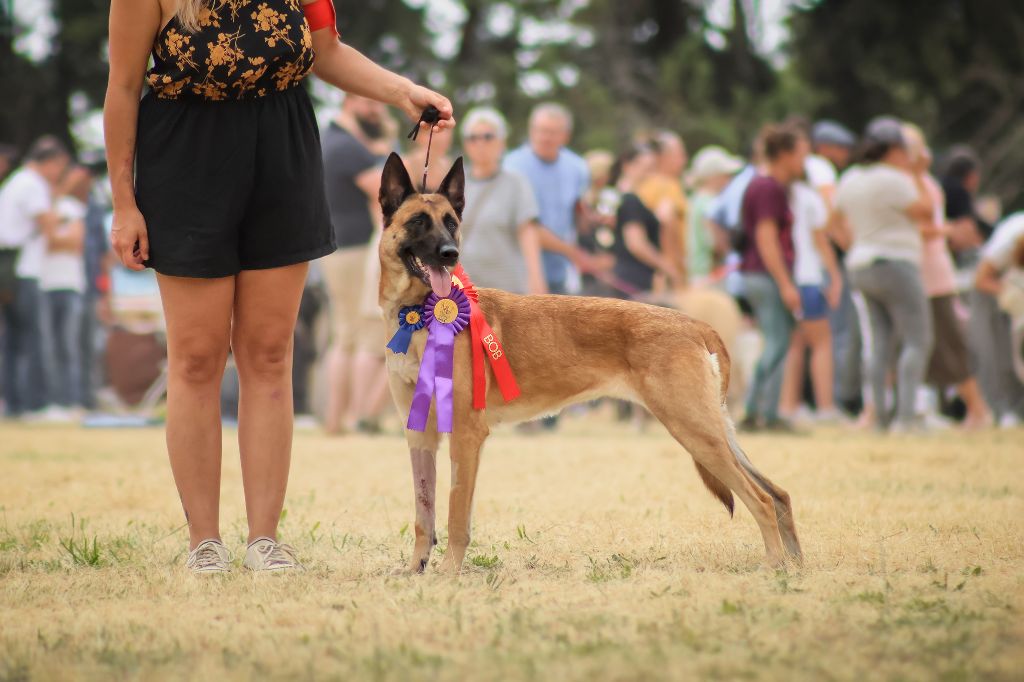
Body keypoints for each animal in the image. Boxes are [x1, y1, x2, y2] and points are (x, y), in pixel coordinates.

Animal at [380, 151, 802, 569]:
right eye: (418, 221)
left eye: (451, 223)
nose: (451, 254)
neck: (420, 315)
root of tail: (695, 324)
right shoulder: (420, 433)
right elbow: (424, 513)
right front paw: (416, 570)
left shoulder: (466, 434)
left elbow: (455, 513)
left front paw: (449, 573)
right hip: (712, 431)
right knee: (779, 493)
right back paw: (794, 565)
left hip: (696, 432)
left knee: (762, 498)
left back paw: (774, 564)